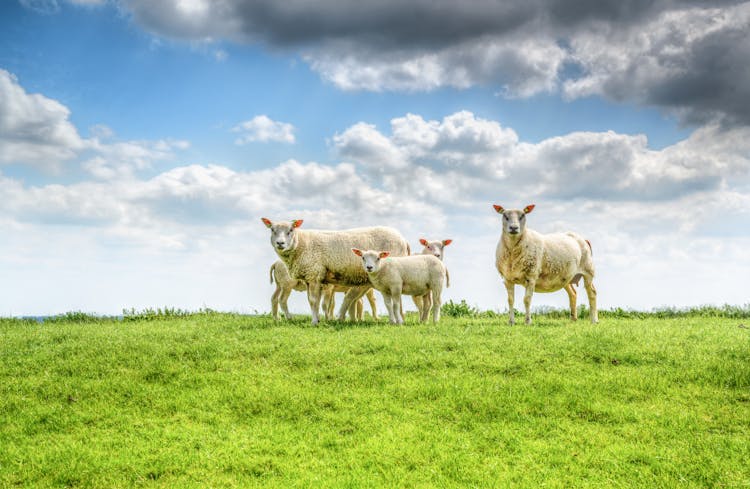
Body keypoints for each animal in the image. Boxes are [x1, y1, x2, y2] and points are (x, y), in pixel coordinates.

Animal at [260, 218, 412, 324]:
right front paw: (319, 319)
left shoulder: (314, 274)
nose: (280, 243)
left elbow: (315, 301)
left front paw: (315, 322)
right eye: (272, 229)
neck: (302, 243)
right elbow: (313, 301)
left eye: (291, 230)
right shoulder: (311, 277)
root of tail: (404, 240)